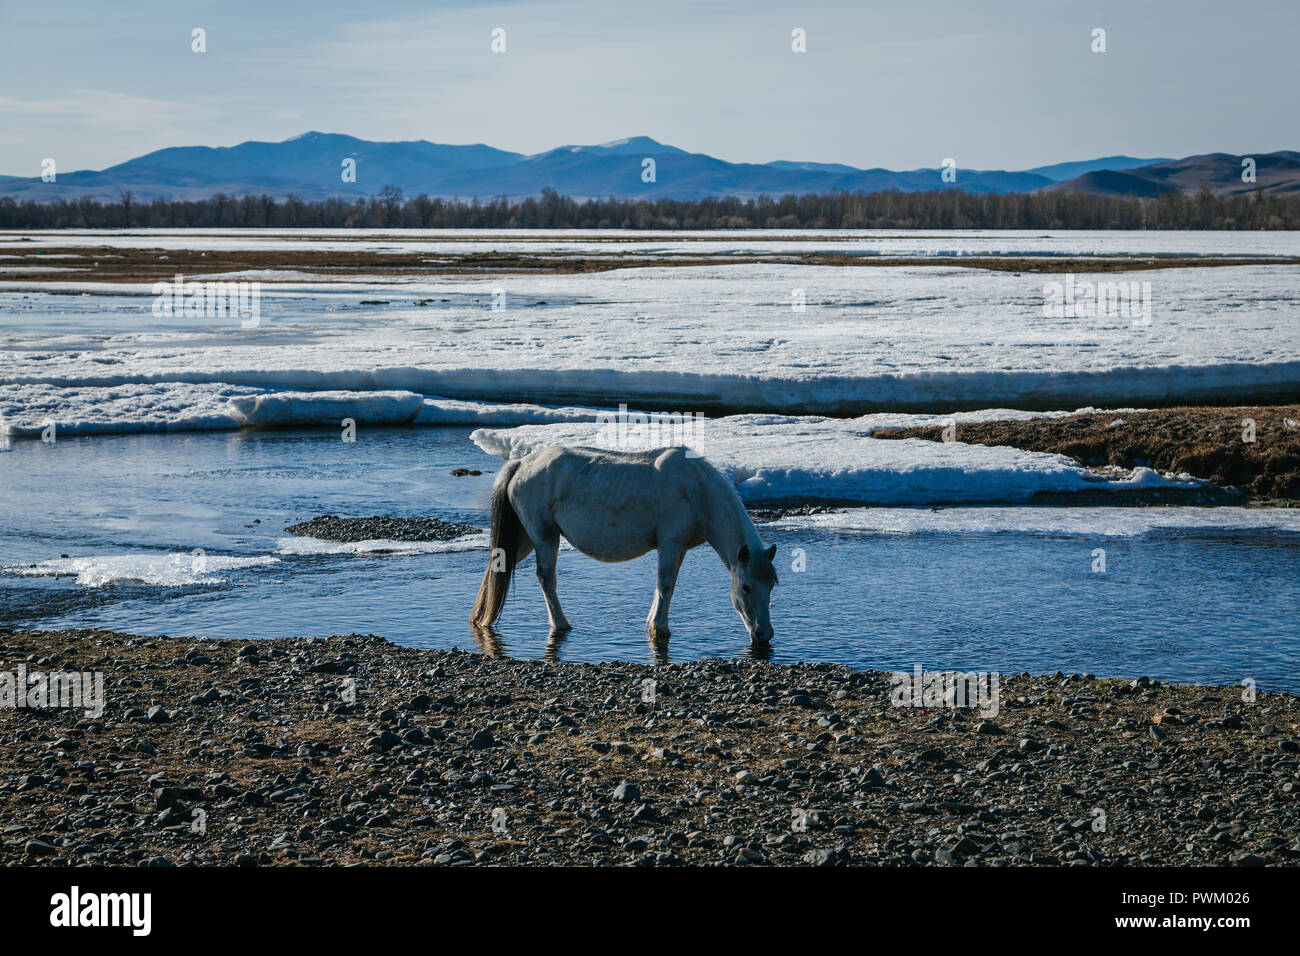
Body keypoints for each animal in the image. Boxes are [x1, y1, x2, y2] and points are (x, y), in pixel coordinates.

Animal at [473, 447, 774, 642]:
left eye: (771, 586)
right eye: (746, 587)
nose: (764, 634)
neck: (698, 490)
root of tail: (521, 464)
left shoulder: (679, 548)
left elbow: (665, 587)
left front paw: (652, 622)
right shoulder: (670, 543)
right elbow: (666, 585)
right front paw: (659, 629)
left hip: (523, 538)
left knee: (496, 568)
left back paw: (480, 616)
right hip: (544, 536)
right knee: (547, 578)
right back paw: (560, 624)